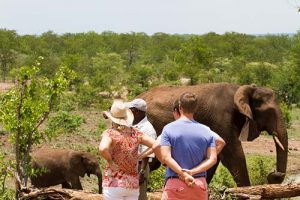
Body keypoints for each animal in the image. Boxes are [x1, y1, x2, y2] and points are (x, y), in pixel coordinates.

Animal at [139, 82, 288, 186]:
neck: (242, 89)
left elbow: (212, 157)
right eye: (269, 112)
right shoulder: (221, 119)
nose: (274, 174)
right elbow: (234, 156)